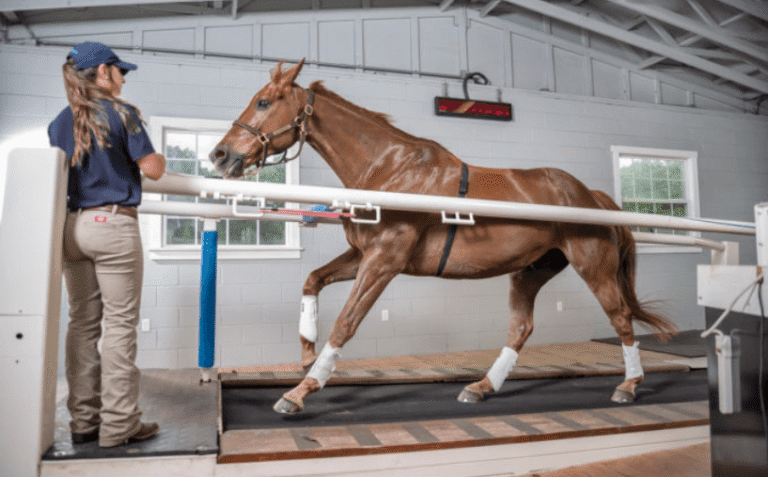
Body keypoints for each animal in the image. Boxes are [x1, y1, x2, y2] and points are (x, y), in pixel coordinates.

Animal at [209, 59, 677, 414]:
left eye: (264, 101)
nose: (220, 154)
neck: (389, 169)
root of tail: (591, 196)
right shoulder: (363, 255)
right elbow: (312, 280)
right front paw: (306, 352)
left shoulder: (384, 261)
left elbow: (345, 323)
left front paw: (302, 389)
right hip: (530, 271)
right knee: (521, 327)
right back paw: (482, 386)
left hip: (592, 266)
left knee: (620, 317)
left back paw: (629, 384)